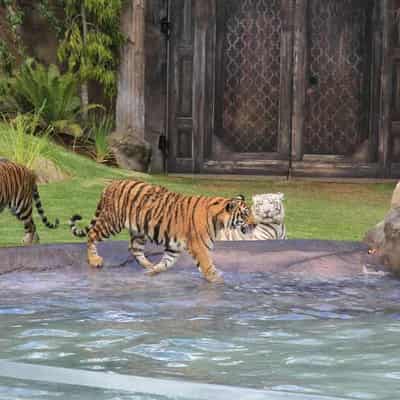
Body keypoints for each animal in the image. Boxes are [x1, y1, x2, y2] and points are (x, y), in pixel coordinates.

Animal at [70, 180, 255, 282]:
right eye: (246, 214)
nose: (255, 224)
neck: (219, 221)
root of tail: (110, 184)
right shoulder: (199, 247)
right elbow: (207, 266)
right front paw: (217, 280)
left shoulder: (174, 247)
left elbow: (166, 262)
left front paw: (153, 272)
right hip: (112, 222)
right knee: (91, 234)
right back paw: (94, 260)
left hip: (139, 232)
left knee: (134, 249)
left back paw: (148, 266)